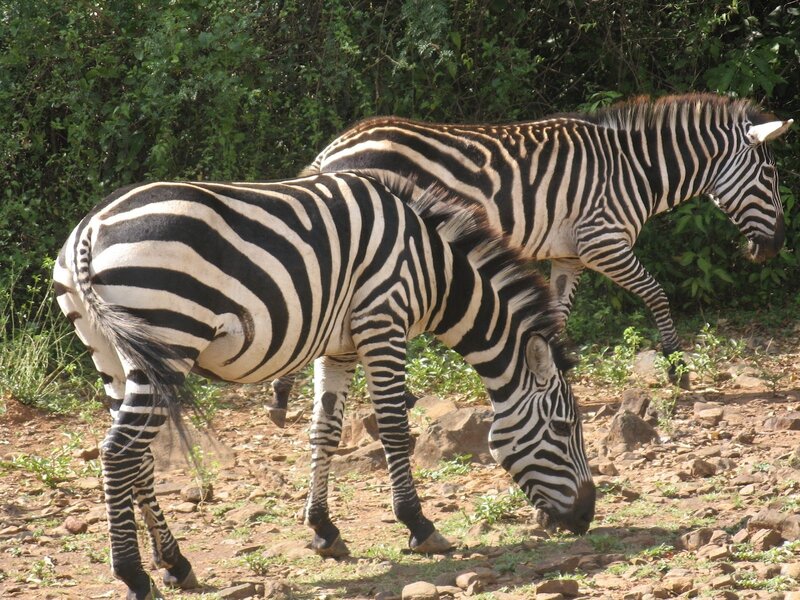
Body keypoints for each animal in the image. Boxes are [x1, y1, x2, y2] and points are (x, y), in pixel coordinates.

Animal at [54, 173, 595, 600]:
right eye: (564, 427)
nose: (586, 518)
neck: (433, 267)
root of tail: (90, 229)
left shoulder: (339, 347)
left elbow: (324, 432)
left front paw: (323, 530)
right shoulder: (383, 318)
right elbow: (394, 428)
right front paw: (419, 526)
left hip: (112, 354)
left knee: (138, 459)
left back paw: (174, 563)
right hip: (169, 334)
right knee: (119, 452)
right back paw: (132, 575)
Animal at [264, 94, 791, 415]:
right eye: (770, 176)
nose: (774, 248)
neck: (635, 170)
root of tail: (334, 148)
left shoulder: (570, 256)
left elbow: (556, 311)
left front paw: (554, 363)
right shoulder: (603, 241)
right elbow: (657, 294)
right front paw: (678, 369)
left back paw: (286, 395)